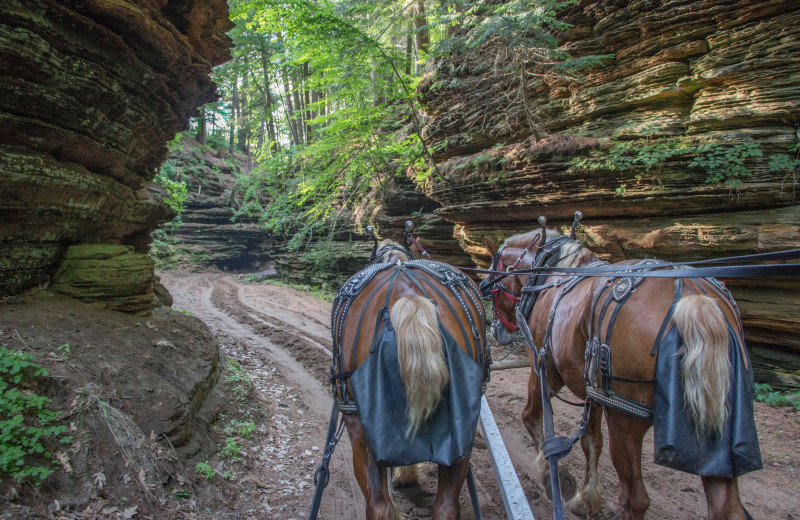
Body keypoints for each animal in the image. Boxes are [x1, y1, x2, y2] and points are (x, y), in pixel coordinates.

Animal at [330, 240, 488, 520]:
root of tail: (409, 297)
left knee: (379, 505)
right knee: (446, 506)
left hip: (358, 425)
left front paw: (404, 476)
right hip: (462, 436)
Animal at [484, 224, 760, 520]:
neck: (549, 275)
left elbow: (531, 418)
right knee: (727, 507)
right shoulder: (591, 391)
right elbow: (591, 441)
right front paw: (588, 499)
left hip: (624, 417)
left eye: (493, 283)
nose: (496, 332)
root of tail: (690, 295)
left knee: (633, 498)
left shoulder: (543, 368)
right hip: (718, 430)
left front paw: (554, 477)